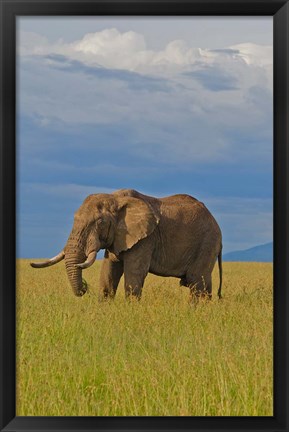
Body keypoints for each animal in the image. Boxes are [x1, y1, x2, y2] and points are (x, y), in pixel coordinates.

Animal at [30, 187, 222, 302]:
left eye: (99, 222)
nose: (85, 287)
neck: (114, 198)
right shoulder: (118, 236)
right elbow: (108, 273)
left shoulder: (145, 238)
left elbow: (134, 274)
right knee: (204, 284)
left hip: (207, 243)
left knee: (197, 282)